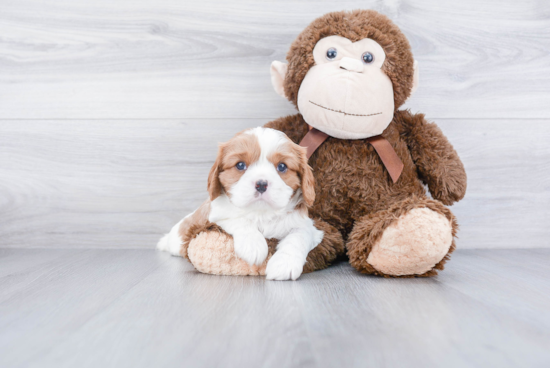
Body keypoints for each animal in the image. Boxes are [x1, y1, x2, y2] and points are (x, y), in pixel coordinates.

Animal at [157, 128, 326, 280]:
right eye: (240, 165)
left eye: (282, 166)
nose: (261, 184)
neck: (262, 213)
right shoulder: (216, 215)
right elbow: (239, 219)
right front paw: (254, 245)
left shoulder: (307, 227)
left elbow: (298, 236)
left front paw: (284, 264)